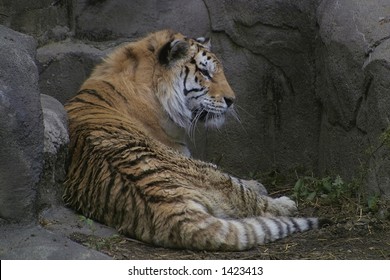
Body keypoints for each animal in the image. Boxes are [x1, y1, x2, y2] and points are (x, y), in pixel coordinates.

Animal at [64, 29, 320, 250]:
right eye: (205, 73)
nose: (232, 100)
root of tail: (167, 204)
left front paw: (256, 183)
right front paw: (260, 186)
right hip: (207, 172)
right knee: (247, 198)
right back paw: (285, 203)